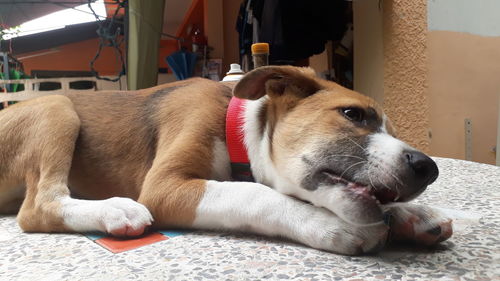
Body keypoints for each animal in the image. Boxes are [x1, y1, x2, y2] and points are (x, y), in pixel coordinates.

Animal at [0, 65, 452, 254]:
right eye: (353, 115)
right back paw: (114, 211)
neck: (233, 124)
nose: (427, 168)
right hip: (55, 108)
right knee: (37, 207)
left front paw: (413, 214)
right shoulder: (165, 187)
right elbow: (255, 193)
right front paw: (327, 224)